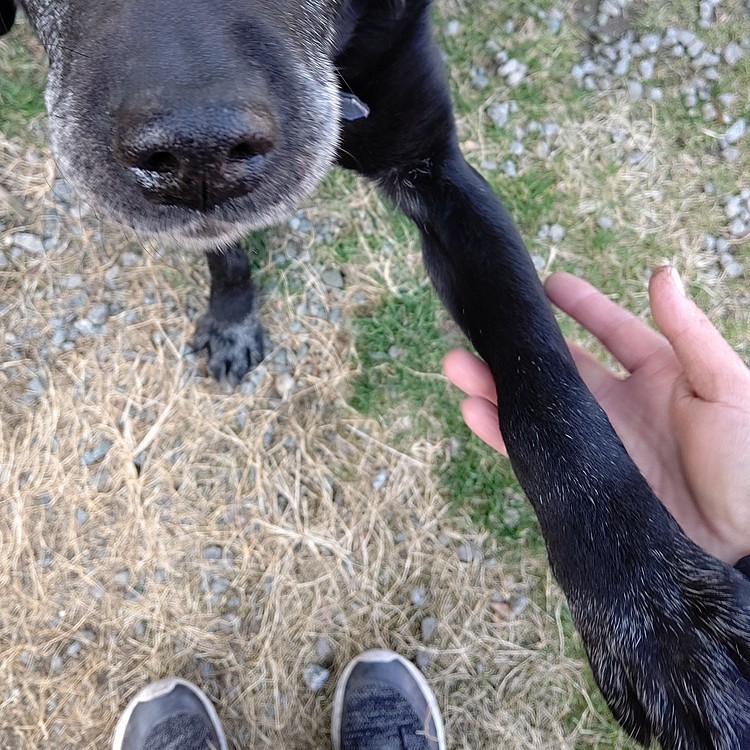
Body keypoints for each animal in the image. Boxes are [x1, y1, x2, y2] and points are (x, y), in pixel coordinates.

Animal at [4, 2, 750, 748]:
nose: (197, 157)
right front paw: (232, 317)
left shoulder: (438, 172)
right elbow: (225, 251)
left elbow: (542, 375)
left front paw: (660, 611)